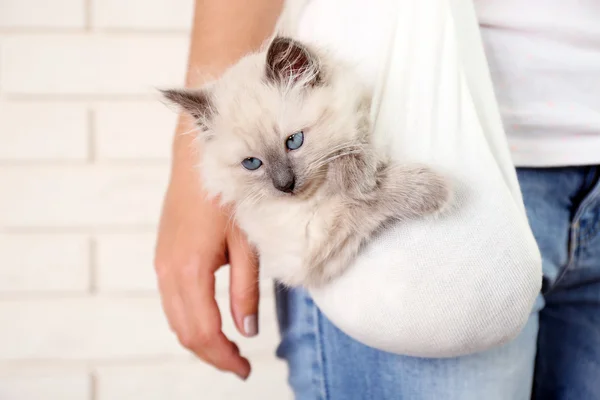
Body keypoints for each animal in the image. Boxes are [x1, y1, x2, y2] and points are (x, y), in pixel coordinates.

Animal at [161, 36, 450, 288]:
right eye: (252, 163)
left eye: (294, 141)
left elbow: (352, 152)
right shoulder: (308, 247)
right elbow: (361, 200)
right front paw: (434, 191)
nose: (285, 185)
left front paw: (359, 166)